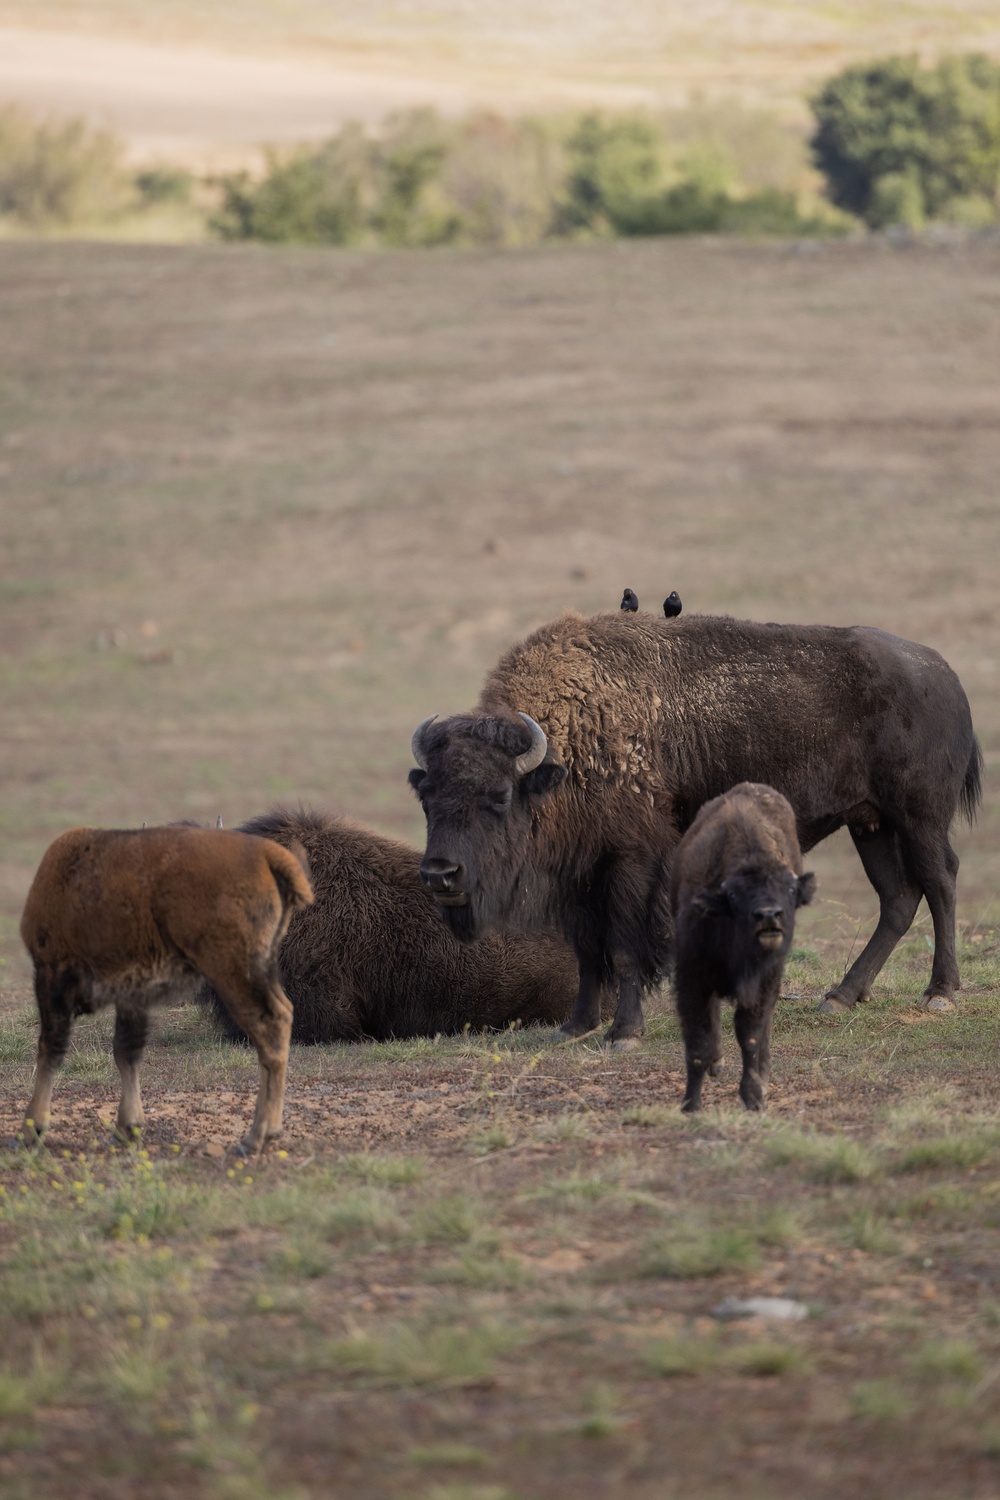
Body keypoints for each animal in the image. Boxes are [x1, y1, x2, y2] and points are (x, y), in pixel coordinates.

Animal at [16, 828, 313, 1152]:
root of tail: (266, 855)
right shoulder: (131, 995)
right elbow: (126, 1052)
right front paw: (127, 1128)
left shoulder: (52, 976)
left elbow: (50, 1051)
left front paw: (30, 1130)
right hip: (262, 970)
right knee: (282, 1017)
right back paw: (268, 1130)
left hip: (233, 974)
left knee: (268, 1028)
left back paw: (255, 1137)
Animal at [410, 609, 983, 1044]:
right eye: (425, 795)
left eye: (499, 796)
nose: (441, 875)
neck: (571, 743)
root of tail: (945, 675)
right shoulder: (582, 875)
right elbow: (588, 953)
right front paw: (574, 1027)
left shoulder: (631, 862)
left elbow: (624, 947)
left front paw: (625, 1032)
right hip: (870, 825)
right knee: (898, 898)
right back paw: (840, 998)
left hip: (918, 818)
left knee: (940, 882)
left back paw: (939, 994)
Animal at [668, 786, 815, 1116]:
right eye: (734, 894)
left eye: (790, 889)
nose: (769, 915)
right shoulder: (691, 977)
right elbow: (698, 1042)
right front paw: (691, 1104)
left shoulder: (765, 980)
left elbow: (750, 1033)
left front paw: (754, 1096)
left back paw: (763, 1073)